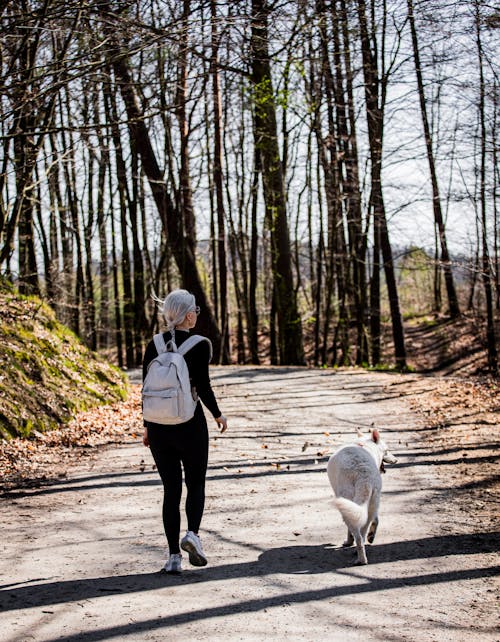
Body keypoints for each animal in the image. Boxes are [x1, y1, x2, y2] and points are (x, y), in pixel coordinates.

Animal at [326, 428, 396, 564]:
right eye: (387, 450)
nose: (396, 460)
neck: (363, 444)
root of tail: (364, 475)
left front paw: (348, 542)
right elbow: (376, 520)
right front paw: (371, 536)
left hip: (347, 504)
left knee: (357, 535)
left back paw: (360, 559)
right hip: (371, 503)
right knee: (364, 532)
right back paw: (366, 544)